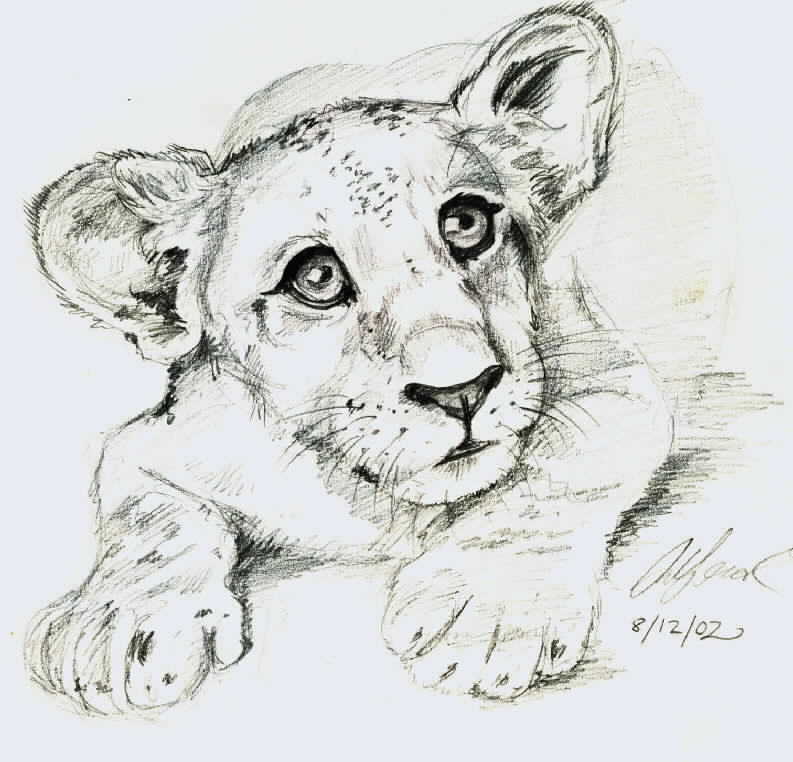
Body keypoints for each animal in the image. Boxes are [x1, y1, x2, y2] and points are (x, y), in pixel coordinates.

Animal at [25, 2, 672, 714]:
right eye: (316, 278)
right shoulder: (160, 440)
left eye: (467, 223)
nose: (462, 391)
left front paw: (486, 610)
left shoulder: (615, 381)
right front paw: (122, 625)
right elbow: (153, 517)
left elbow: (552, 474)